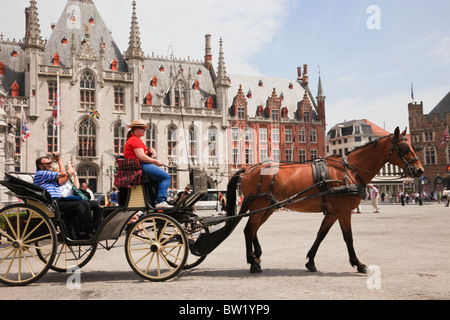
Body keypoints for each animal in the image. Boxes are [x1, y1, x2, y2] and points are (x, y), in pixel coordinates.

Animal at [227, 126, 424, 274]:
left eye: (414, 147)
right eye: (405, 149)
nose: (420, 170)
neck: (350, 170)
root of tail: (249, 168)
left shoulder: (332, 213)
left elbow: (321, 234)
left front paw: (310, 261)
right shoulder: (344, 211)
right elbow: (348, 237)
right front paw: (358, 264)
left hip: (267, 208)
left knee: (253, 230)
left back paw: (257, 257)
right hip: (260, 206)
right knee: (248, 230)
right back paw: (253, 262)